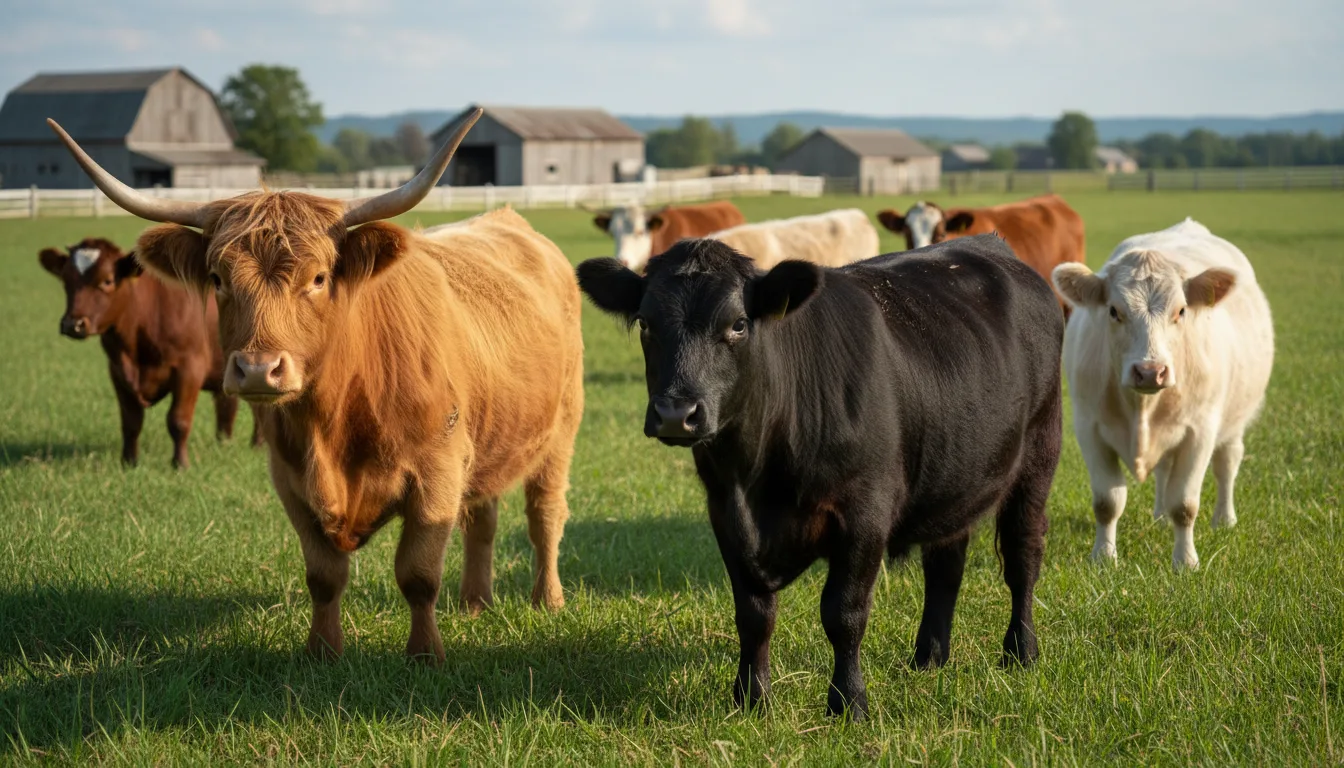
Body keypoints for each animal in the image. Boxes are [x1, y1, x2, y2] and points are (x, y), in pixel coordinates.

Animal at [38, 237, 257, 468]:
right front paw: (129, 462)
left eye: (107, 280)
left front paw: (180, 464)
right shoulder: (118, 373)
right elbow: (131, 422)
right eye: (65, 280)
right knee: (227, 406)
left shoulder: (189, 369)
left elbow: (178, 420)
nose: (73, 324)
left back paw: (257, 445)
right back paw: (224, 443)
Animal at [575, 234, 1063, 720]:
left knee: (1022, 556)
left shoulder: (864, 513)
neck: (755, 481)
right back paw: (929, 658)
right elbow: (753, 614)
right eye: (644, 323)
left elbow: (843, 613)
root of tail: (991, 244)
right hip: (954, 474)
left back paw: (1021, 651)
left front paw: (848, 703)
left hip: (1038, 457)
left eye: (738, 324)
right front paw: (751, 699)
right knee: (946, 565)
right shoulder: (724, 514)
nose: (677, 413)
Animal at [1052, 218, 1273, 570]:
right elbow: (1107, 502)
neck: (1141, 406)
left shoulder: (1200, 432)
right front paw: (1104, 557)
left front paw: (1185, 561)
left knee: (1227, 463)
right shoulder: (1089, 428)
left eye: (1181, 311)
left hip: (1234, 420)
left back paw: (1224, 519)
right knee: (1164, 470)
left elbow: (1184, 504)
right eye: (1113, 311)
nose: (1149, 370)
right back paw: (1158, 517)